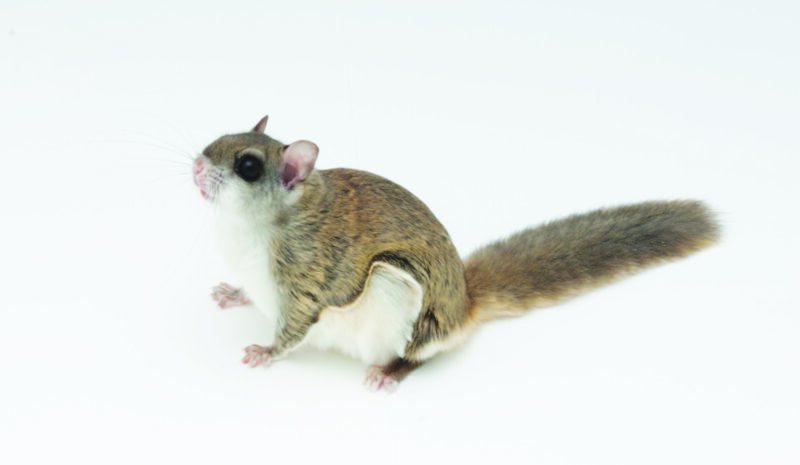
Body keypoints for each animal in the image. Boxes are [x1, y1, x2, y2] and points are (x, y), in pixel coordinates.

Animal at [192, 116, 719, 392]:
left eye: (247, 167)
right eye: (221, 137)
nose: (197, 168)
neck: (249, 225)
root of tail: (463, 304)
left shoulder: (311, 277)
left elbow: (295, 327)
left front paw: (266, 351)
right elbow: (248, 291)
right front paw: (235, 293)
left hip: (398, 286)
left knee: (418, 352)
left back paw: (390, 372)